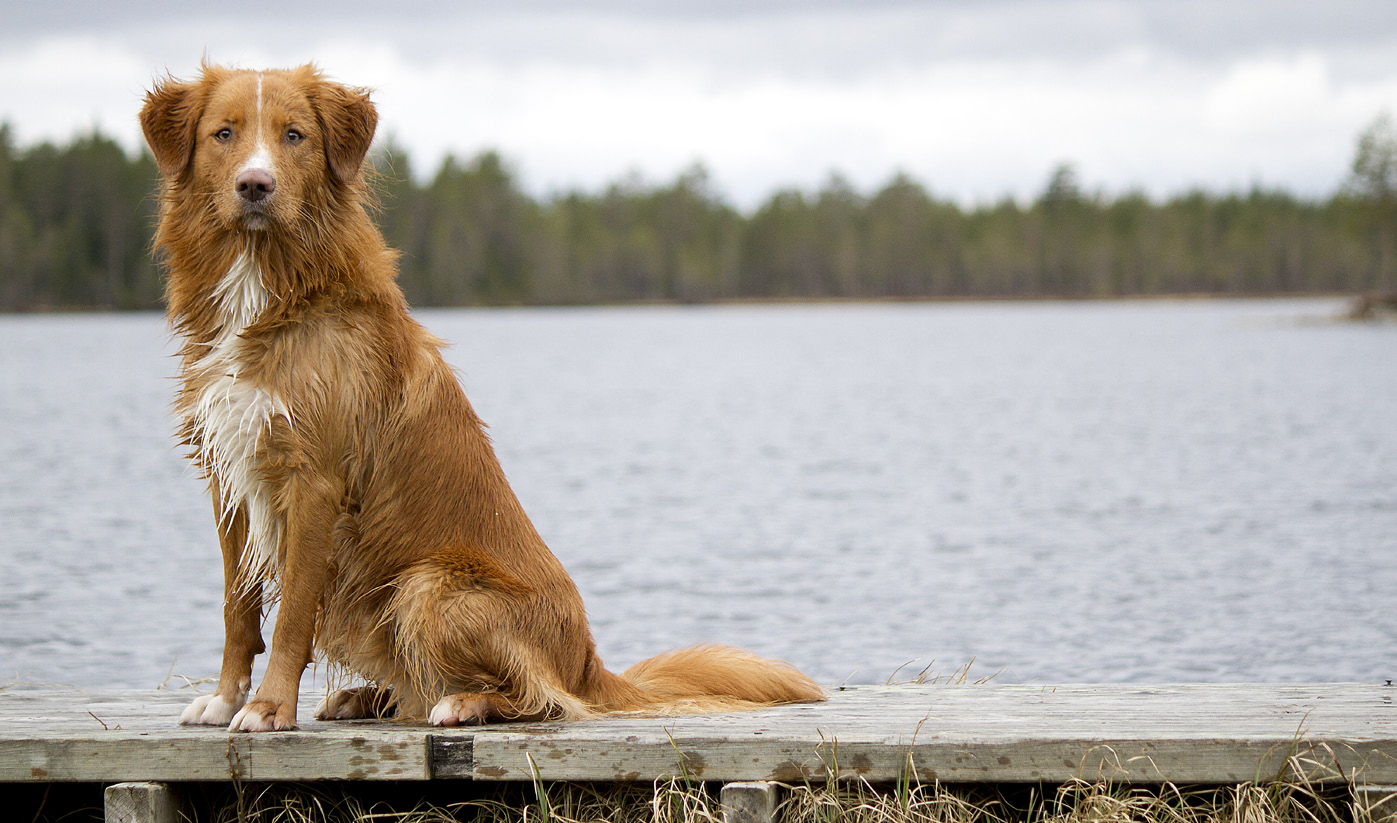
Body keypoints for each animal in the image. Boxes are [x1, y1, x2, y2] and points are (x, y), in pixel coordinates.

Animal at [137, 65, 821, 732]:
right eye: (224, 134)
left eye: (294, 135)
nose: (255, 185)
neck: (268, 285)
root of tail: (586, 663)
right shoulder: (229, 471)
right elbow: (237, 608)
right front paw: (224, 699)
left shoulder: (315, 480)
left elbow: (293, 617)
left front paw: (269, 709)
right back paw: (368, 697)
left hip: (429, 585)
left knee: (540, 699)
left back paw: (464, 702)